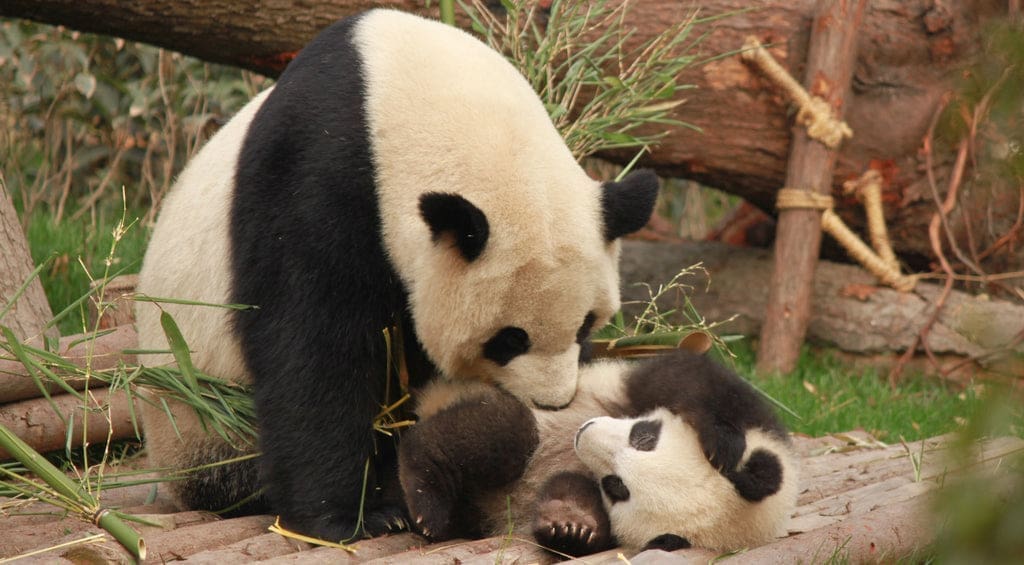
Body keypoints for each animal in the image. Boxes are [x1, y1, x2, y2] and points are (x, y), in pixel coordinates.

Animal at [134, 8, 659, 543]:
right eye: (509, 339)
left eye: (586, 324)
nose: (552, 403)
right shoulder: (314, 176)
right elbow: (313, 350)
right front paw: (347, 517)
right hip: (199, 416)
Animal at [398, 350, 798, 556]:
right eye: (644, 436)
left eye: (616, 486)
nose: (584, 432)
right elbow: (689, 377)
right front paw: (721, 441)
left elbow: (574, 494)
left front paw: (571, 525)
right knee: (504, 433)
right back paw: (425, 499)